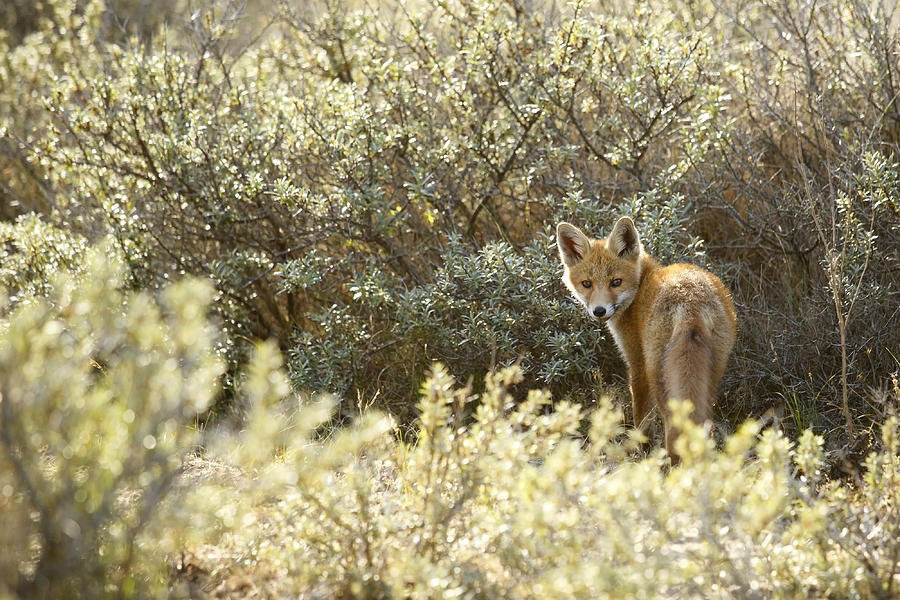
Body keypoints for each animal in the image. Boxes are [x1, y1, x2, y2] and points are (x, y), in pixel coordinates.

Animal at [556, 217, 740, 460]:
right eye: (587, 284)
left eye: (616, 282)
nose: (599, 311)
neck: (641, 285)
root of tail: (691, 300)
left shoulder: (637, 363)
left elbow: (641, 419)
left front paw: (641, 451)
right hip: (711, 375)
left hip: (659, 376)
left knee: (673, 430)